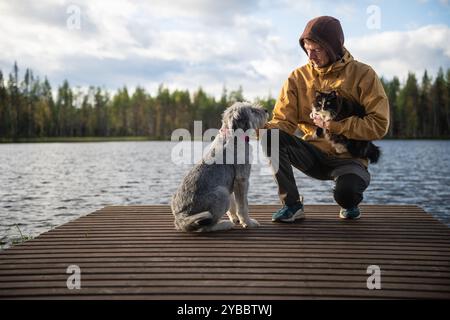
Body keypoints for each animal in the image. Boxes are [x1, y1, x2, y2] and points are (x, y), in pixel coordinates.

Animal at [170, 102, 268, 232]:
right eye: (252, 110)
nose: (266, 110)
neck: (232, 136)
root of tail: (181, 219)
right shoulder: (241, 180)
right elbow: (243, 206)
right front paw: (248, 222)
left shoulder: (230, 183)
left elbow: (233, 205)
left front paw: (235, 218)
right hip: (221, 193)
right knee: (205, 227)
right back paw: (225, 224)